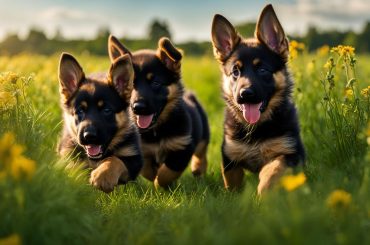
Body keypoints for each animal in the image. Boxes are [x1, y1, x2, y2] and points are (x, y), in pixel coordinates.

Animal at [57, 52, 143, 193]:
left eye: (107, 110)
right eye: (80, 111)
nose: (89, 136)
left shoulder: (133, 159)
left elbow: (114, 159)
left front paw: (103, 176)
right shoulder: (69, 154)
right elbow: (75, 167)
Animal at [108, 35, 210, 188]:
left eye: (155, 83)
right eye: (131, 84)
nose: (137, 107)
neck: (156, 130)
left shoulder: (183, 146)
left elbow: (167, 173)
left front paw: (159, 182)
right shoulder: (144, 150)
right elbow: (147, 170)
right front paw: (155, 178)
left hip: (203, 135)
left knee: (201, 153)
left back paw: (198, 168)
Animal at [211, 4, 304, 193]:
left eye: (262, 70)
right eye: (235, 72)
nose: (245, 94)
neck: (256, 128)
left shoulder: (289, 152)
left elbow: (273, 169)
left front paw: (263, 191)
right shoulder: (230, 155)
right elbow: (232, 180)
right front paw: (234, 196)